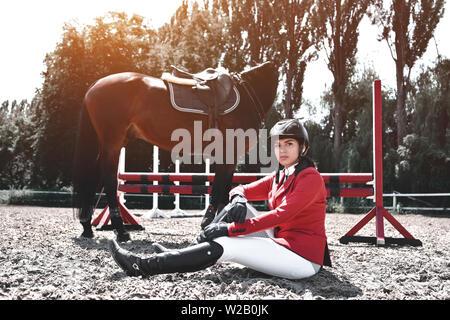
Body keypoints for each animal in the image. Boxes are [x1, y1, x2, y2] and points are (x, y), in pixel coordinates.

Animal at [71, 61, 278, 241]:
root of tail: (95, 86)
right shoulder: (229, 154)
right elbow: (219, 191)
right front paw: (209, 224)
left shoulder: (228, 157)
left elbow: (225, 193)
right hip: (112, 143)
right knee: (110, 182)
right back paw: (121, 232)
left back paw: (87, 227)